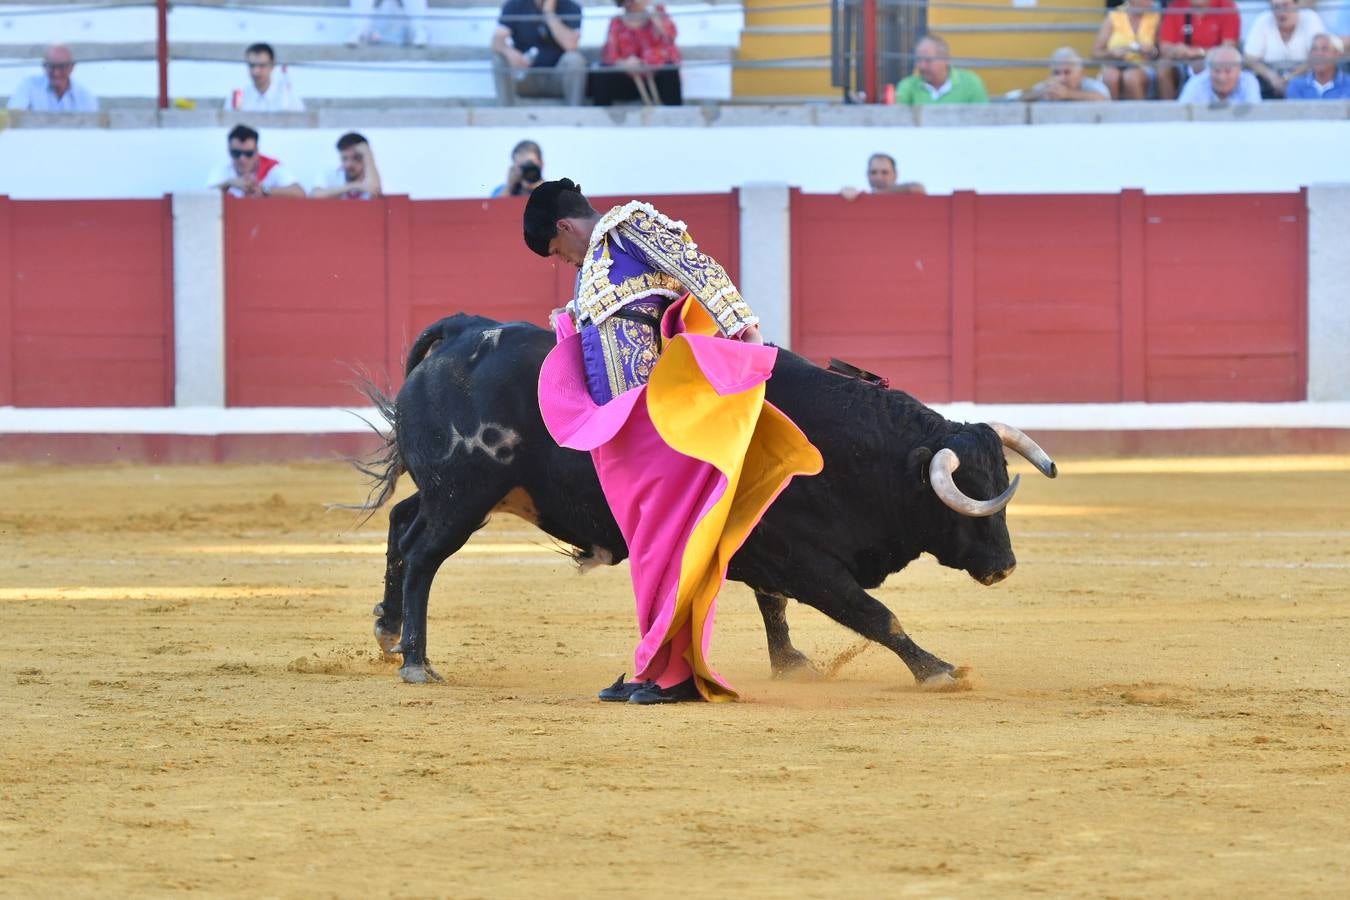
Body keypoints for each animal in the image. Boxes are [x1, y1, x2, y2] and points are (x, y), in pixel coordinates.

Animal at [364, 317, 1058, 690]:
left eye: (999, 481)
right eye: (968, 499)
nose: (1005, 567)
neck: (850, 451)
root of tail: (463, 331)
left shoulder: (768, 554)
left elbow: (774, 607)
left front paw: (791, 666)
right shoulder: (804, 559)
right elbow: (874, 614)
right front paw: (938, 670)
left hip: (450, 494)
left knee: (401, 526)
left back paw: (389, 633)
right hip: (463, 497)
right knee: (423, 557)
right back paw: (418, 663)